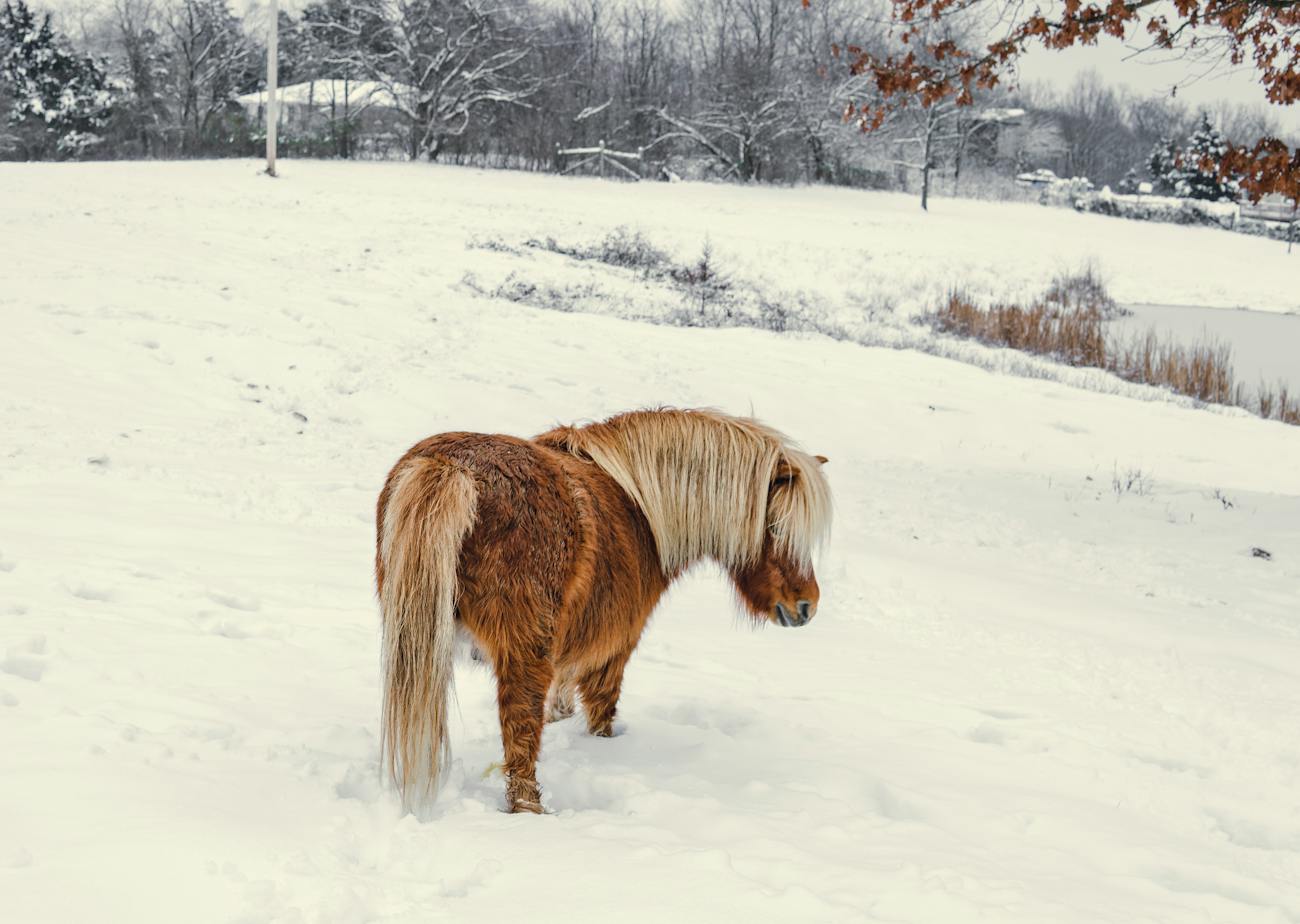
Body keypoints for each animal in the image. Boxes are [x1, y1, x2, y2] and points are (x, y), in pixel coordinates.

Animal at [377, 408, 832, 810]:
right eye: (775, 527)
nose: (805, 605)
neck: (640, 509)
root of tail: (453, 468)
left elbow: (561, 704)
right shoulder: (613, 648)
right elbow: (601, 714)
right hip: (522, 653)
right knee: (521, 733)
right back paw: (530, 808)